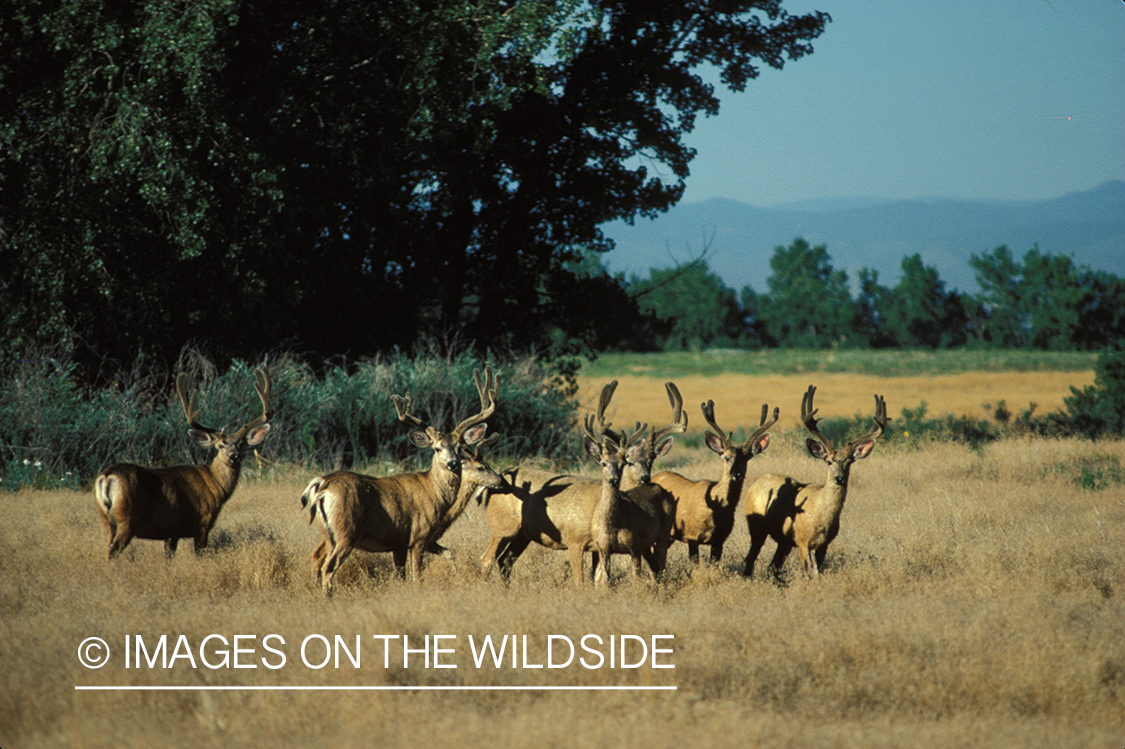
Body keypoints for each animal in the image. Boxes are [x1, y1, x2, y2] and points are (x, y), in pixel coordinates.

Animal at [93, 366, 272, 553]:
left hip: (105, 518)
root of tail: (107, 477)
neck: (215, 485)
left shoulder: (172, 532)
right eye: (220, 445)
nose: (234, 456)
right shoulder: (202, 524)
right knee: (113, 550)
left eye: (242, 444)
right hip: (126, 517)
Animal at [742, 384, 891, 575]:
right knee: (750, 559)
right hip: (757, 526)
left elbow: (818, 573)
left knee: (773, 566)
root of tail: (757, 482)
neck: (821, 516)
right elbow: (810, 573)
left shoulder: (824, 544)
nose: (839, 478)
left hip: (783, 541)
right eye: (828, 461)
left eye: (849, 462)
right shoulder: (803, 540)